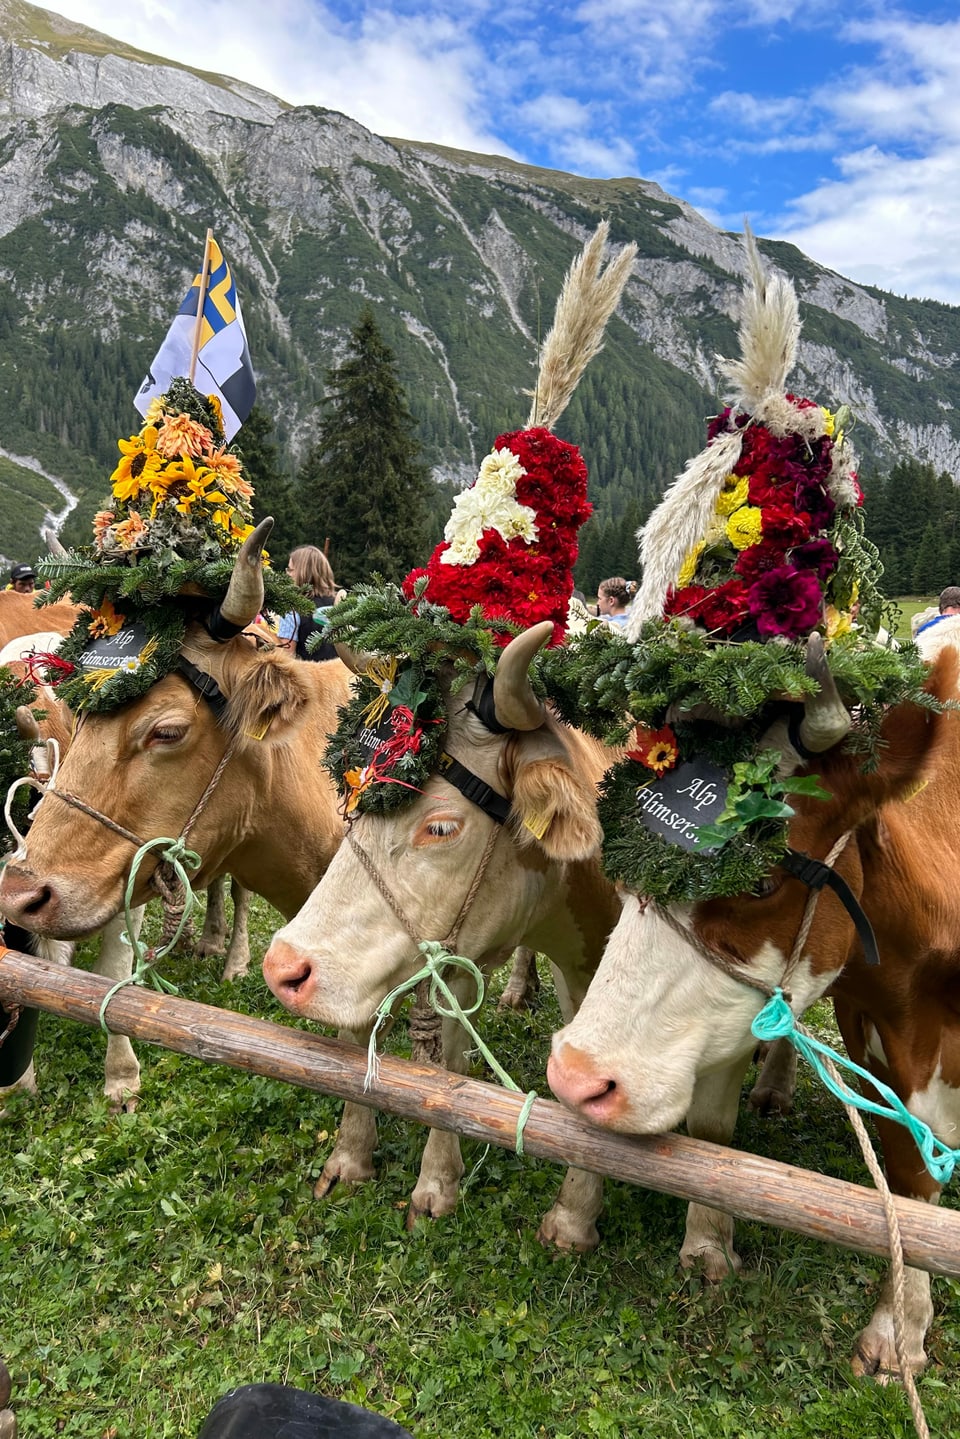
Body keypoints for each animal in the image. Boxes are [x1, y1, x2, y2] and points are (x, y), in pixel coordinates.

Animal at [263, 618, 624, 1249]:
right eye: (354, 801)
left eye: (440, 827)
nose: (283, 967)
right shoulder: (461, 958)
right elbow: (448, 1070)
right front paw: (416, 1181)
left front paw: (573, 1220)